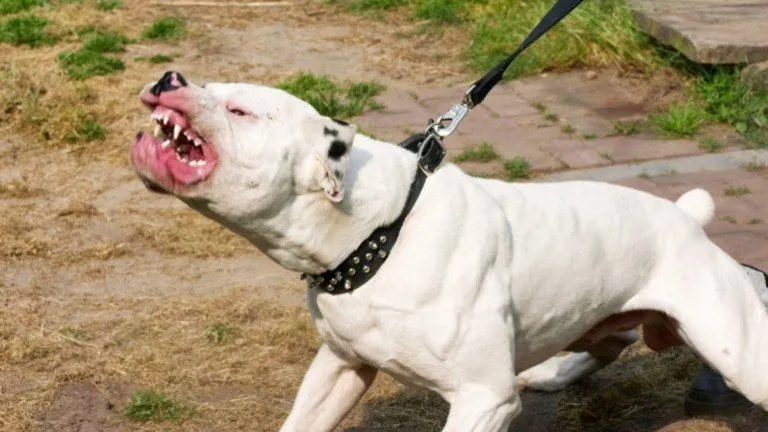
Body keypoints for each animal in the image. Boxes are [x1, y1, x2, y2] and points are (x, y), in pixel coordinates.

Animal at [132, 72, 768, 430]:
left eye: (239, 110)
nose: (167, 77)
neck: (382, 232)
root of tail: (685, 218)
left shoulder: (483, 399)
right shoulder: (339, 366)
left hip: (738, 353)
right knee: (614, 336)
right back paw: (554, 370)